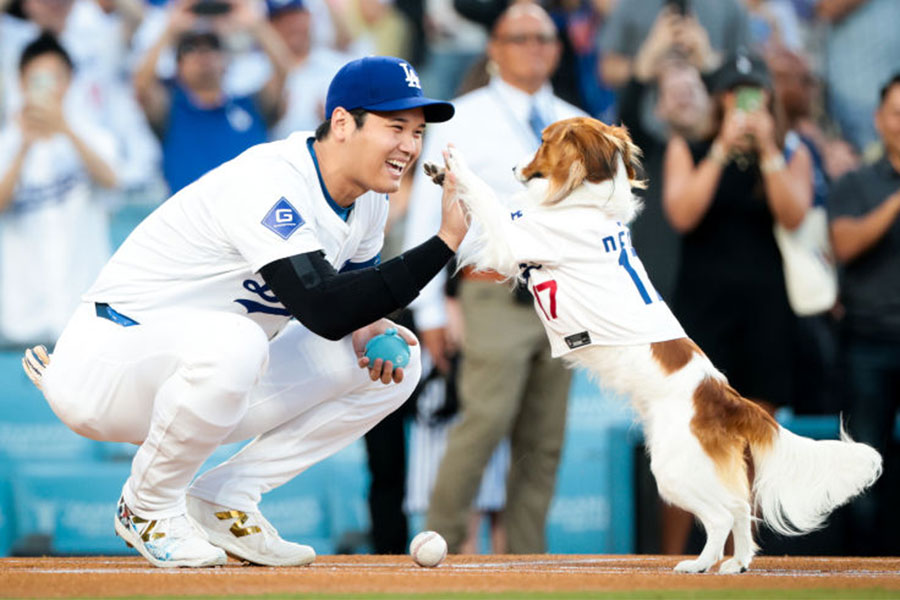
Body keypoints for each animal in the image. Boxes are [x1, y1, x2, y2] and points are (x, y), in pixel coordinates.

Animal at [426, 116, 884, 572]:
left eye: (543, 142)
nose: (515, 167)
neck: (586, 203)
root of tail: (726, 397)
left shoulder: (513, 239)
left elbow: (486, 197)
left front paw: (456, 165)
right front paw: (439, 173)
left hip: (672, 469)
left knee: (720, 515)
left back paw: (699, 565)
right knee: (739, 508)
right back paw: (735, 564)